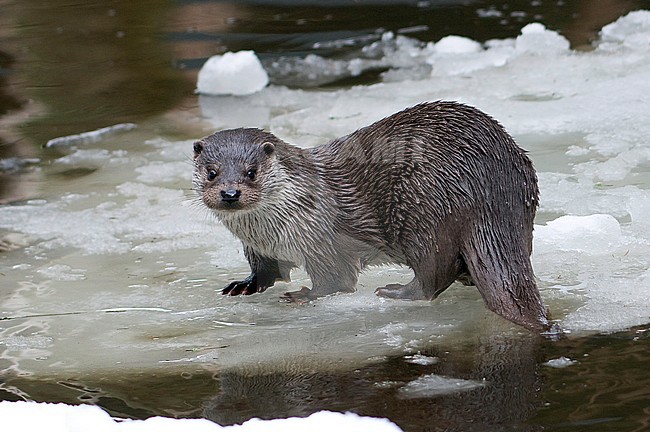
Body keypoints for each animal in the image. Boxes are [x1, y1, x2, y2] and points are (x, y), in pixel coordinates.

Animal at [192, 101, 549, 331]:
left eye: (251, 172)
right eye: (211, 173)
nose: (229, 193)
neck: (268, 231)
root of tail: (495, 184)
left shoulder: (320, 237)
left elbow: (337, 281)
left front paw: (304, 295)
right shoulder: (258, 248)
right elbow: (265, 272)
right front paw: (244, 285)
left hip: (422, 209)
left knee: (434, 271)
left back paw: (397, 291)